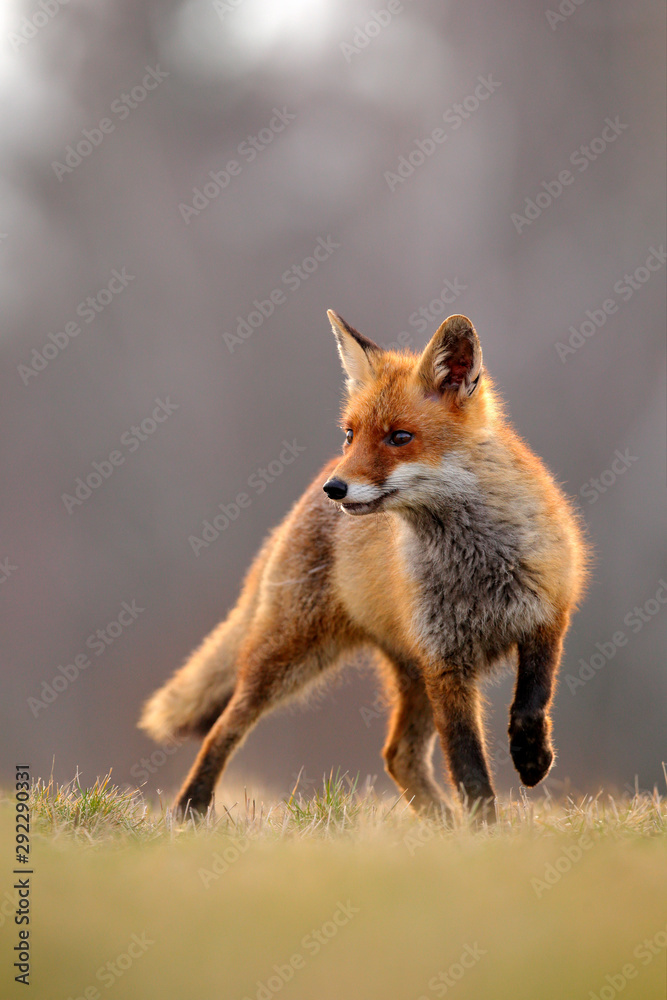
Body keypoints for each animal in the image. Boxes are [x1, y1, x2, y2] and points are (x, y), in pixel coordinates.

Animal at [139, 311, 589, 822]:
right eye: (351, 434)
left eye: (400, 438)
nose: (335, 489)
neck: (476, 567)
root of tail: (302, 497)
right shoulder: (444, 662)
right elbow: (469, 769)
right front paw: (484, 831)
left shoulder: (547, 614)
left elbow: (532, 702)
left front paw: (531, 760)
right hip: (290, 657)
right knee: (225, 728)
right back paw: (189, 810)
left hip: (403, 672)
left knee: (398, 756)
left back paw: (441, 822)